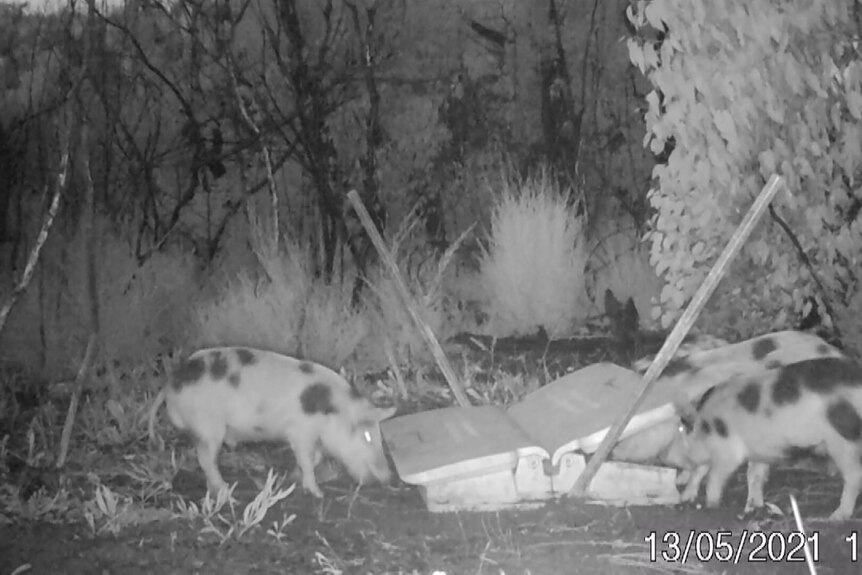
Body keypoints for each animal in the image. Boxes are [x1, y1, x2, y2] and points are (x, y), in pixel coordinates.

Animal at [148, 348, 398, 498]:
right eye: (367, 436)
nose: (387, 477)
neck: (333, 410)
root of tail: (170, 384)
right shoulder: (300, 431)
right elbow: (307, 459)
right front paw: (317, 493)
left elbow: (314, 458)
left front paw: (293, 477)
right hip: (208, 426)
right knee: (206, 459)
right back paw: (226, 492)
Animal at [672, 358, 862, 520]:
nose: (681, 498)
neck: (706, 427)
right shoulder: (760, 450)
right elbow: (755, 476)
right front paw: (753, 507)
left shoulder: (728, 452)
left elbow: (715, 476)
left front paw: (711, 505)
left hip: (842, 439)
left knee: (854, 475)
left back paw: (837, 517)